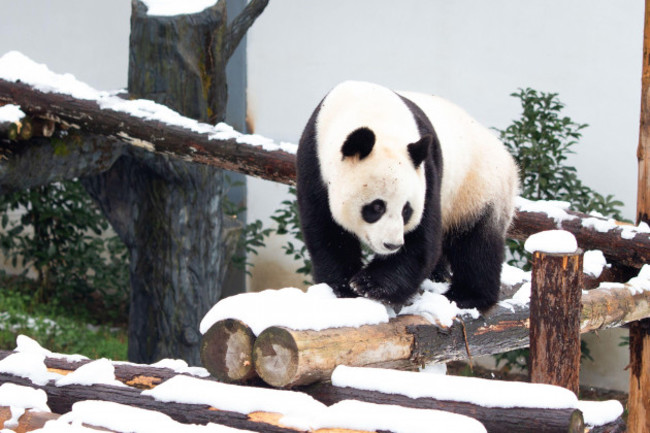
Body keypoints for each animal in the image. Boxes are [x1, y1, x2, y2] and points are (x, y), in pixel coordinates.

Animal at [296, 80, 520, 310]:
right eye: (377, 207)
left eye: (407, 210)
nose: (392, 245)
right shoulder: (314, 162)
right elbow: (327, 230)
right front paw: (343, 287)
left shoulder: (427, 169)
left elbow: (422, 238)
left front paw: (370, 284)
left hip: (479, 187)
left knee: (476, 244)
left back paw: (467, 295)